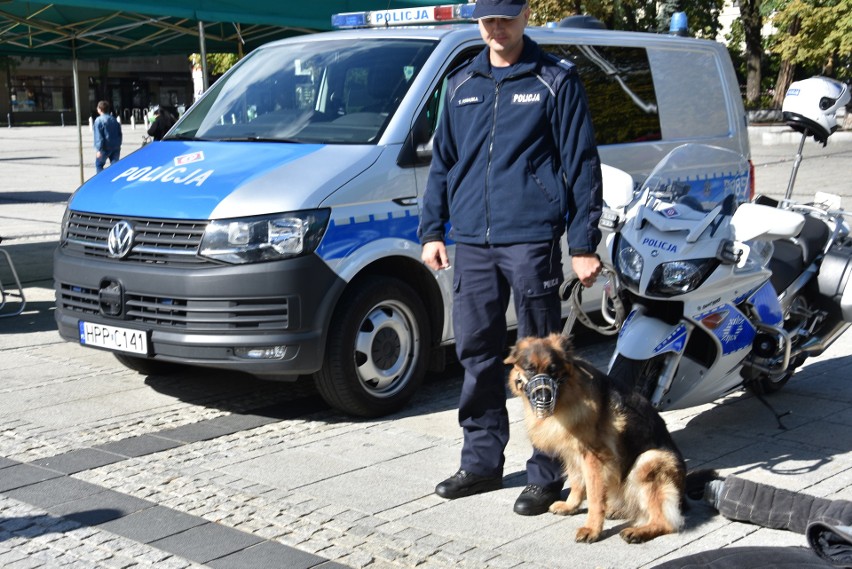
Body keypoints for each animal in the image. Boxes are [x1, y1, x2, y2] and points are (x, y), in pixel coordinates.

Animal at [506, 336, 684, 544]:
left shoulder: (594, 459)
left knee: (665, 522)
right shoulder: (572, 453)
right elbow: (576, 482)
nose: (544, 397)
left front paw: (592, 529)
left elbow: (594, 496)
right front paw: (571, 506)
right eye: (530, 369)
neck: (568, 391)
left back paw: (639, 531)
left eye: (553, 370)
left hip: (648, 461)